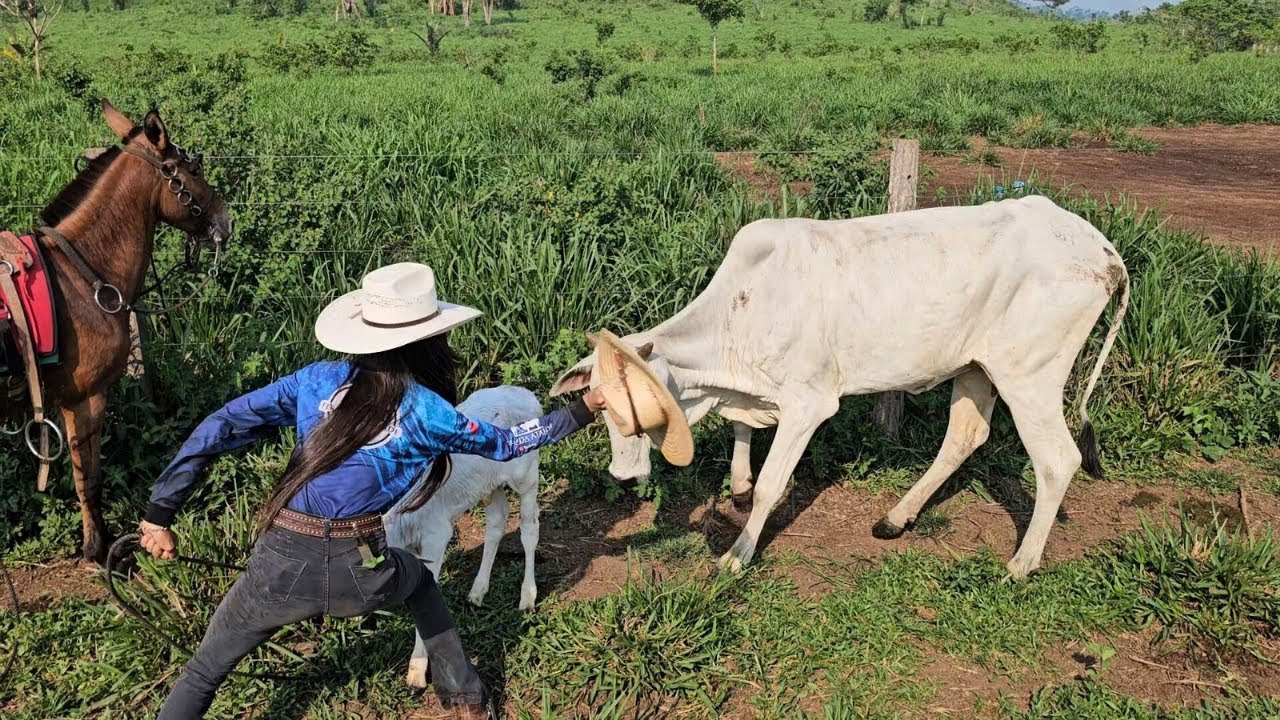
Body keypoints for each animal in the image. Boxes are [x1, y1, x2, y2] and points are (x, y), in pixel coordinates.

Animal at [550, 195, 1130, 579]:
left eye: (636, 407)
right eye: (598, 406)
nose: (622, 476)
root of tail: (1101, 248)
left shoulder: (809, 403)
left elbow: (772, 486)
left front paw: (737, 554)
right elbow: (740, 430)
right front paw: (736, 484)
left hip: (1029, 376)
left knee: (1057, 460)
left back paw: (1021, 563)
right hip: (976, 368)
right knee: (965, 437)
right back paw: (896, 519)